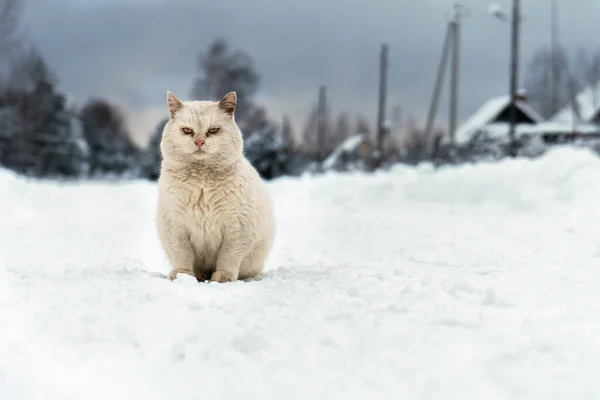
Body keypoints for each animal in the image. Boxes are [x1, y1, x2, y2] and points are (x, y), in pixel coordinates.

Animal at [156, 92, 276, 282]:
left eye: (213, 130)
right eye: (187, 130)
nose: (199, 141)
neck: (201, 183)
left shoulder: (238, 228)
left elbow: (228, 256)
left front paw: (223, 276)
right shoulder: (175, 226)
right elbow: (182, 254)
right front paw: (182, 275)